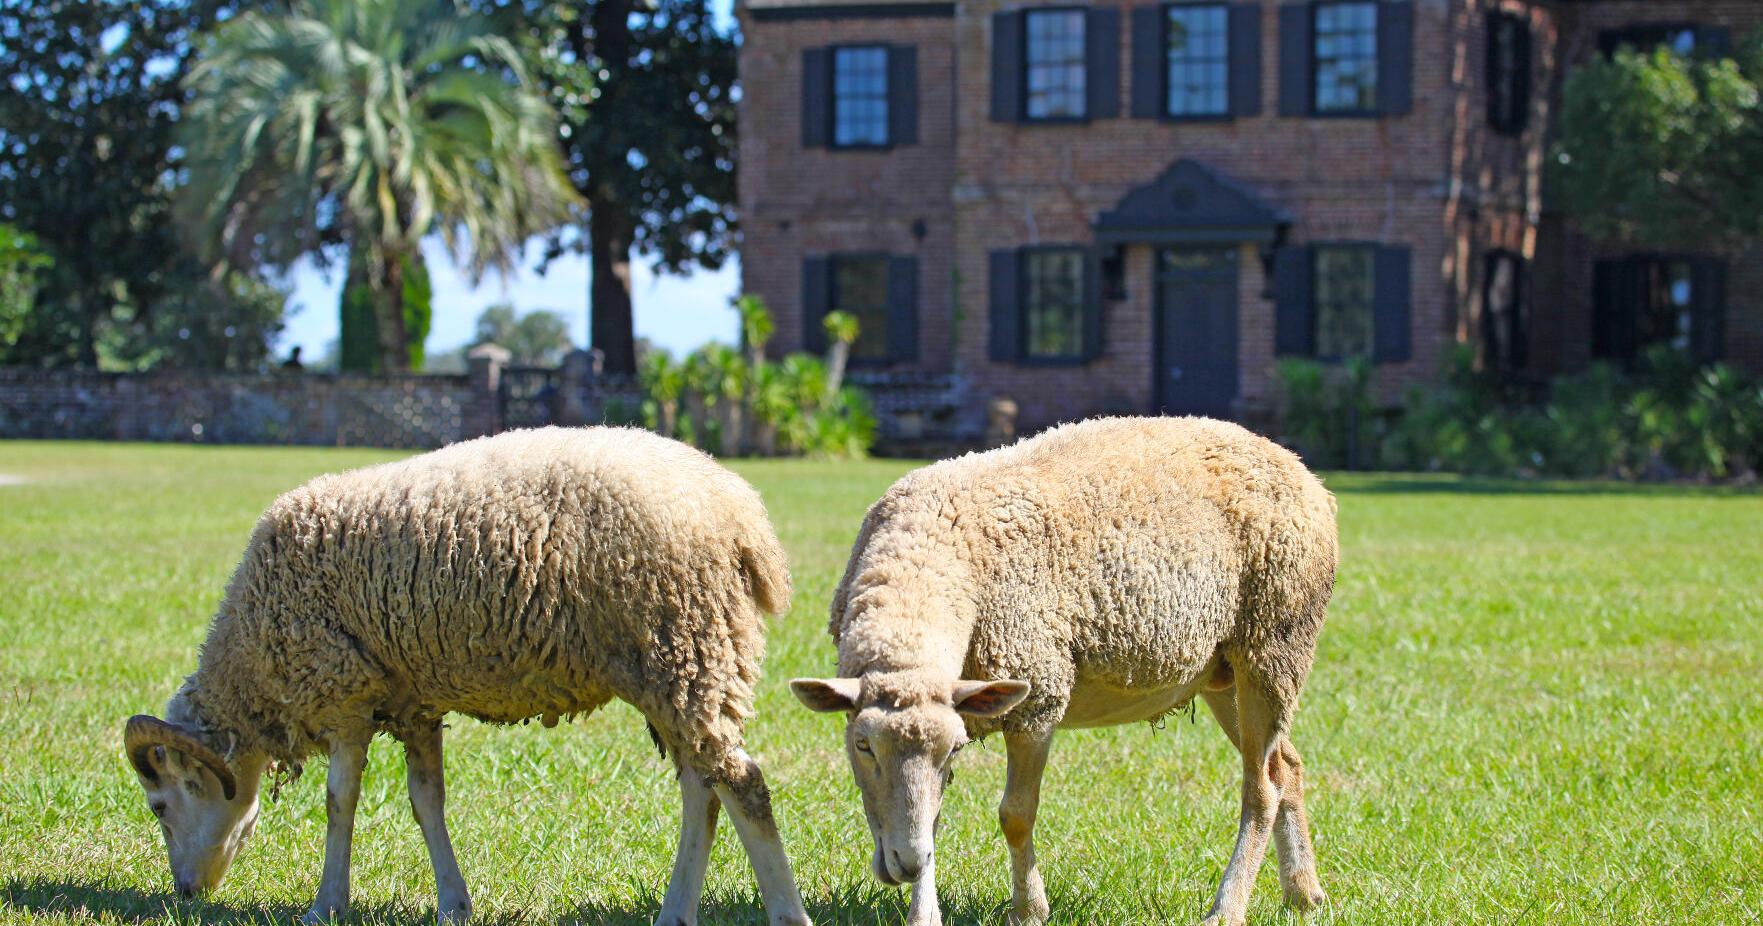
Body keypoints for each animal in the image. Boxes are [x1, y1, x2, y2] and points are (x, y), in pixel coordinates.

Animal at [122, 426, 812, 926]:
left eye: (161, 804)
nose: (185, 894)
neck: (252, 661)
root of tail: (742, 515)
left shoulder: (343, 690)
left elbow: (339, 801)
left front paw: (326, 905)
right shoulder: (412, 702)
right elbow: (427, 801)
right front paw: (453, 903)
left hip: (684, 645)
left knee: (742, 783)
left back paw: (786, 913)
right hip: (677, 664)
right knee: (703, 787)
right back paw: (675, 913)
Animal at [791, 416, 1338, 926]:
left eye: (954, 749)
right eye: (862, 746)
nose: (905, 864)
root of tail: (1303, 470)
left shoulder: (1038, 694)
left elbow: (1015, 814)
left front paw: (1029, 909)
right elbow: (933, 819)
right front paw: (925, 914)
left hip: (1275, 642)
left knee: (1261, 788)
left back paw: (1228, 908)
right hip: (1223, 672)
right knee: (1285, 766)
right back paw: (1303, 892)